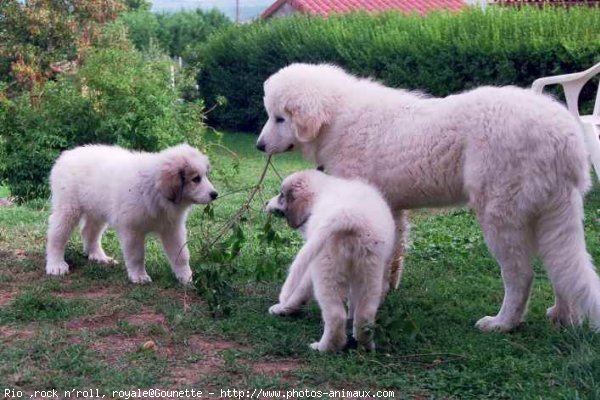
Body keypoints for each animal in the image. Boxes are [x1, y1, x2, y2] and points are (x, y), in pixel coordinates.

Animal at [45, 144, 218, 284]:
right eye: (196, 179)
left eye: (205, 175)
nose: (215, 194)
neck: (153, 188)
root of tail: (66, 155)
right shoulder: (132, 229)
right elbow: (137, 255)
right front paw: (139, 276)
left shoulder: (172, 229)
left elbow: (181, 254)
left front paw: (186, 277)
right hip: (68, 209)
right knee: (56, 236)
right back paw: (56, 265)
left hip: (97, 209)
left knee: (89, 231)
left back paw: (98, 256)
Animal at [256, 62, 600, 332]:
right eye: (270, 115)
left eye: (280, 118)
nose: (259, 146)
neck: (338, 117)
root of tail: (564, 136)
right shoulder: (389, 210)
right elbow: (393, 255)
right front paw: (384, 291)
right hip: (550, 213)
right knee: (560, 266)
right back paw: (562, 316)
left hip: (500, 214)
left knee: (521, 275)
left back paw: (502, 323)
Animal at [264, 170, 396, 352]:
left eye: (282, 195)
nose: (266, 202)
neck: (322, 190)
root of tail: (350, 216)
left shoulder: (313, 261)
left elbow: (300, 290)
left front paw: (282, 308)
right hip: (370, 268)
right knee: (365, 314)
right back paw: (365, 345)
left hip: (327, 269)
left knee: (335, 315)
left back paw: (323, 347)